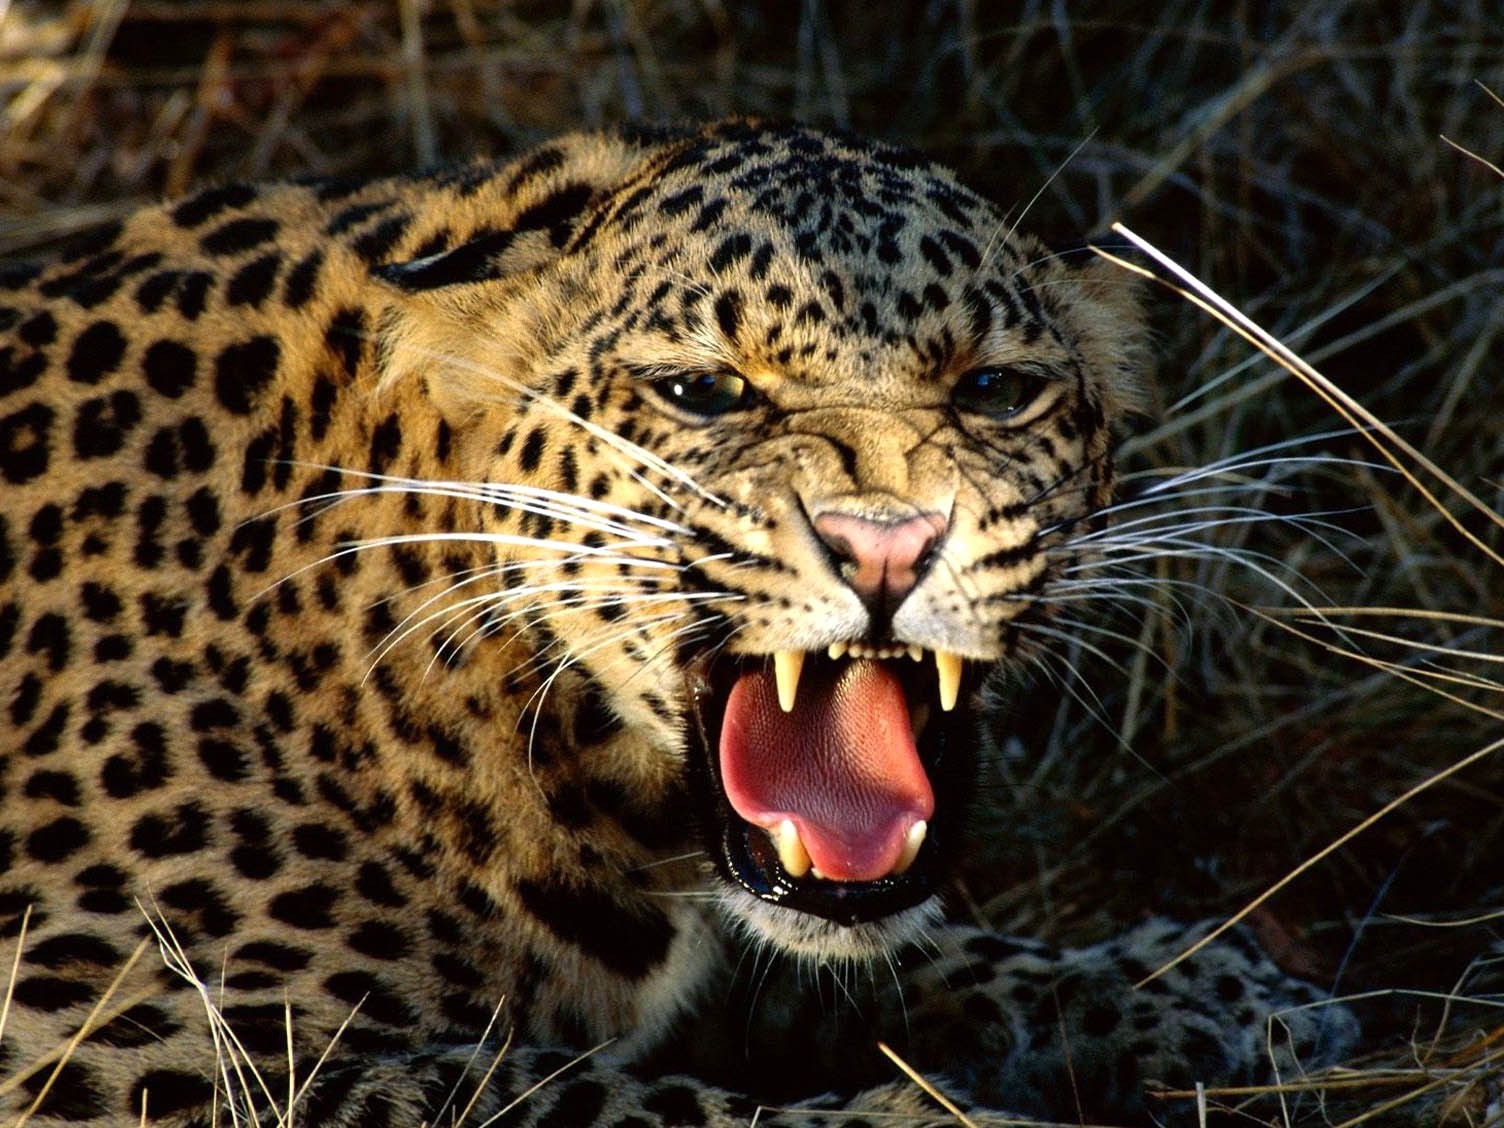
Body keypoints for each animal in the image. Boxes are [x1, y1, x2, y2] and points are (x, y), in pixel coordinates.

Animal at [0, 119, 1355, 1125]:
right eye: (702, 392)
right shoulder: (108, 1033)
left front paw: (1196, 991)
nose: (887, 542)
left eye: (994, 389)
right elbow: (578, 1098)